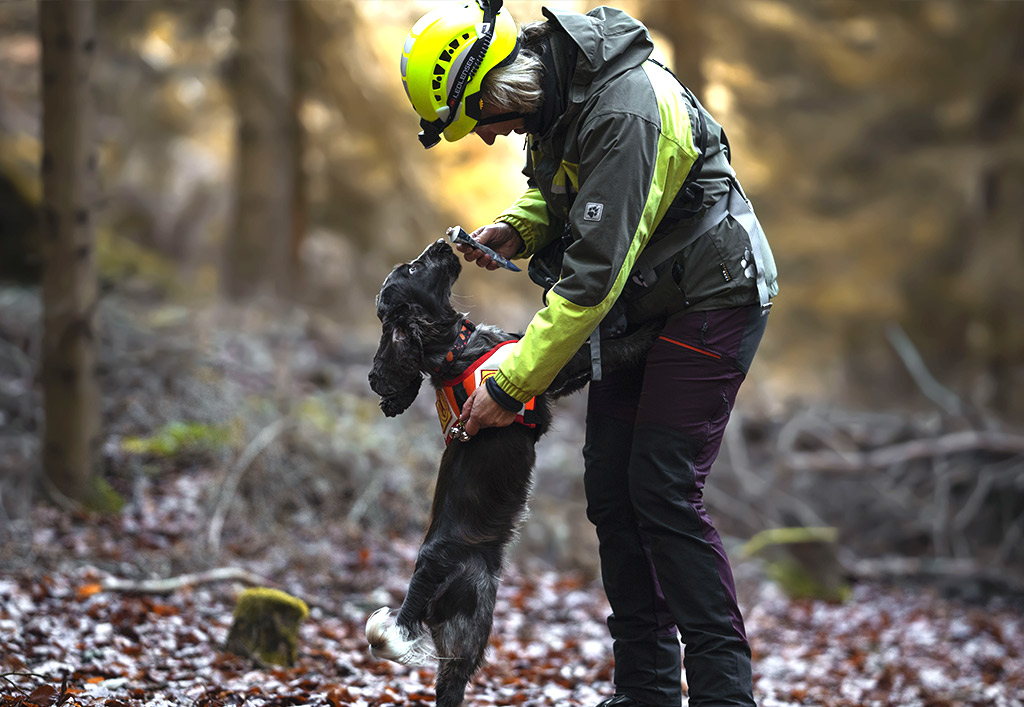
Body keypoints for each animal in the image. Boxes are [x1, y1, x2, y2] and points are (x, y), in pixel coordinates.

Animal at [368, 237, 655, 704]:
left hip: (466, 627)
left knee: (448, 684)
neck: (451, 348)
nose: (442, 242)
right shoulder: (552, 369)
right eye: (411, 270)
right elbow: (609, 349)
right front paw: (653, 329)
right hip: (473, 612)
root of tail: (421, 582)